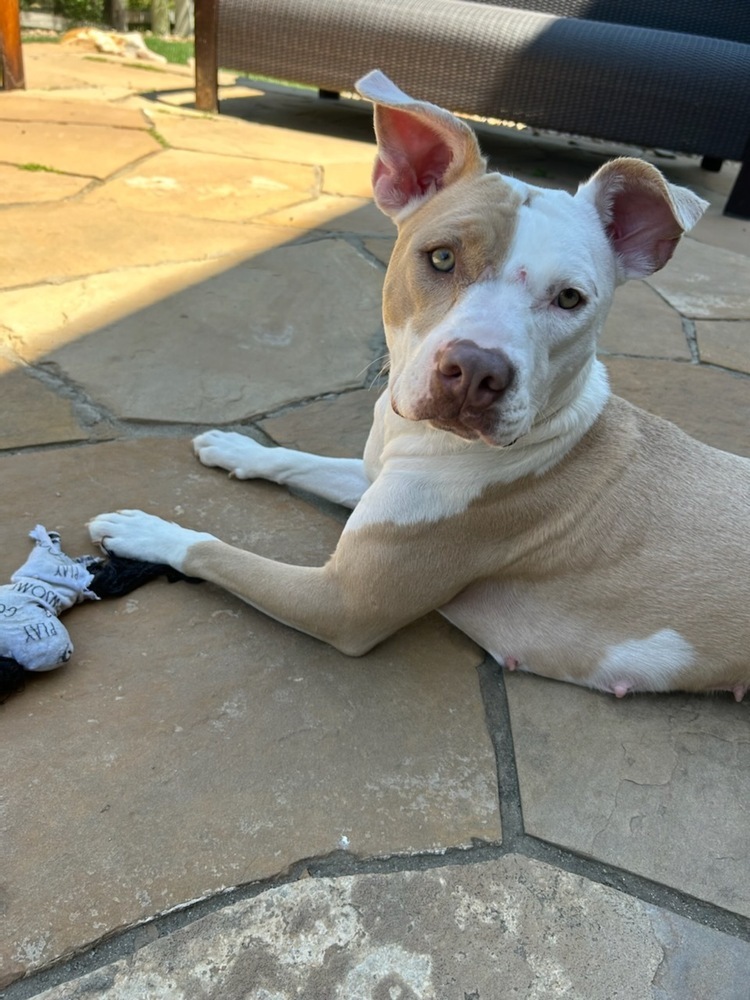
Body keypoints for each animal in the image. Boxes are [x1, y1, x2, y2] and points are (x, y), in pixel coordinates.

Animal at [89, 68, 750, 704]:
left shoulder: (342, 603)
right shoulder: (376, 480)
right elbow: (299, 461)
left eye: (569, 299)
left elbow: (212, 548)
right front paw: (238, 448)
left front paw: (146, 532)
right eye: (441, 258)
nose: (477, 372)